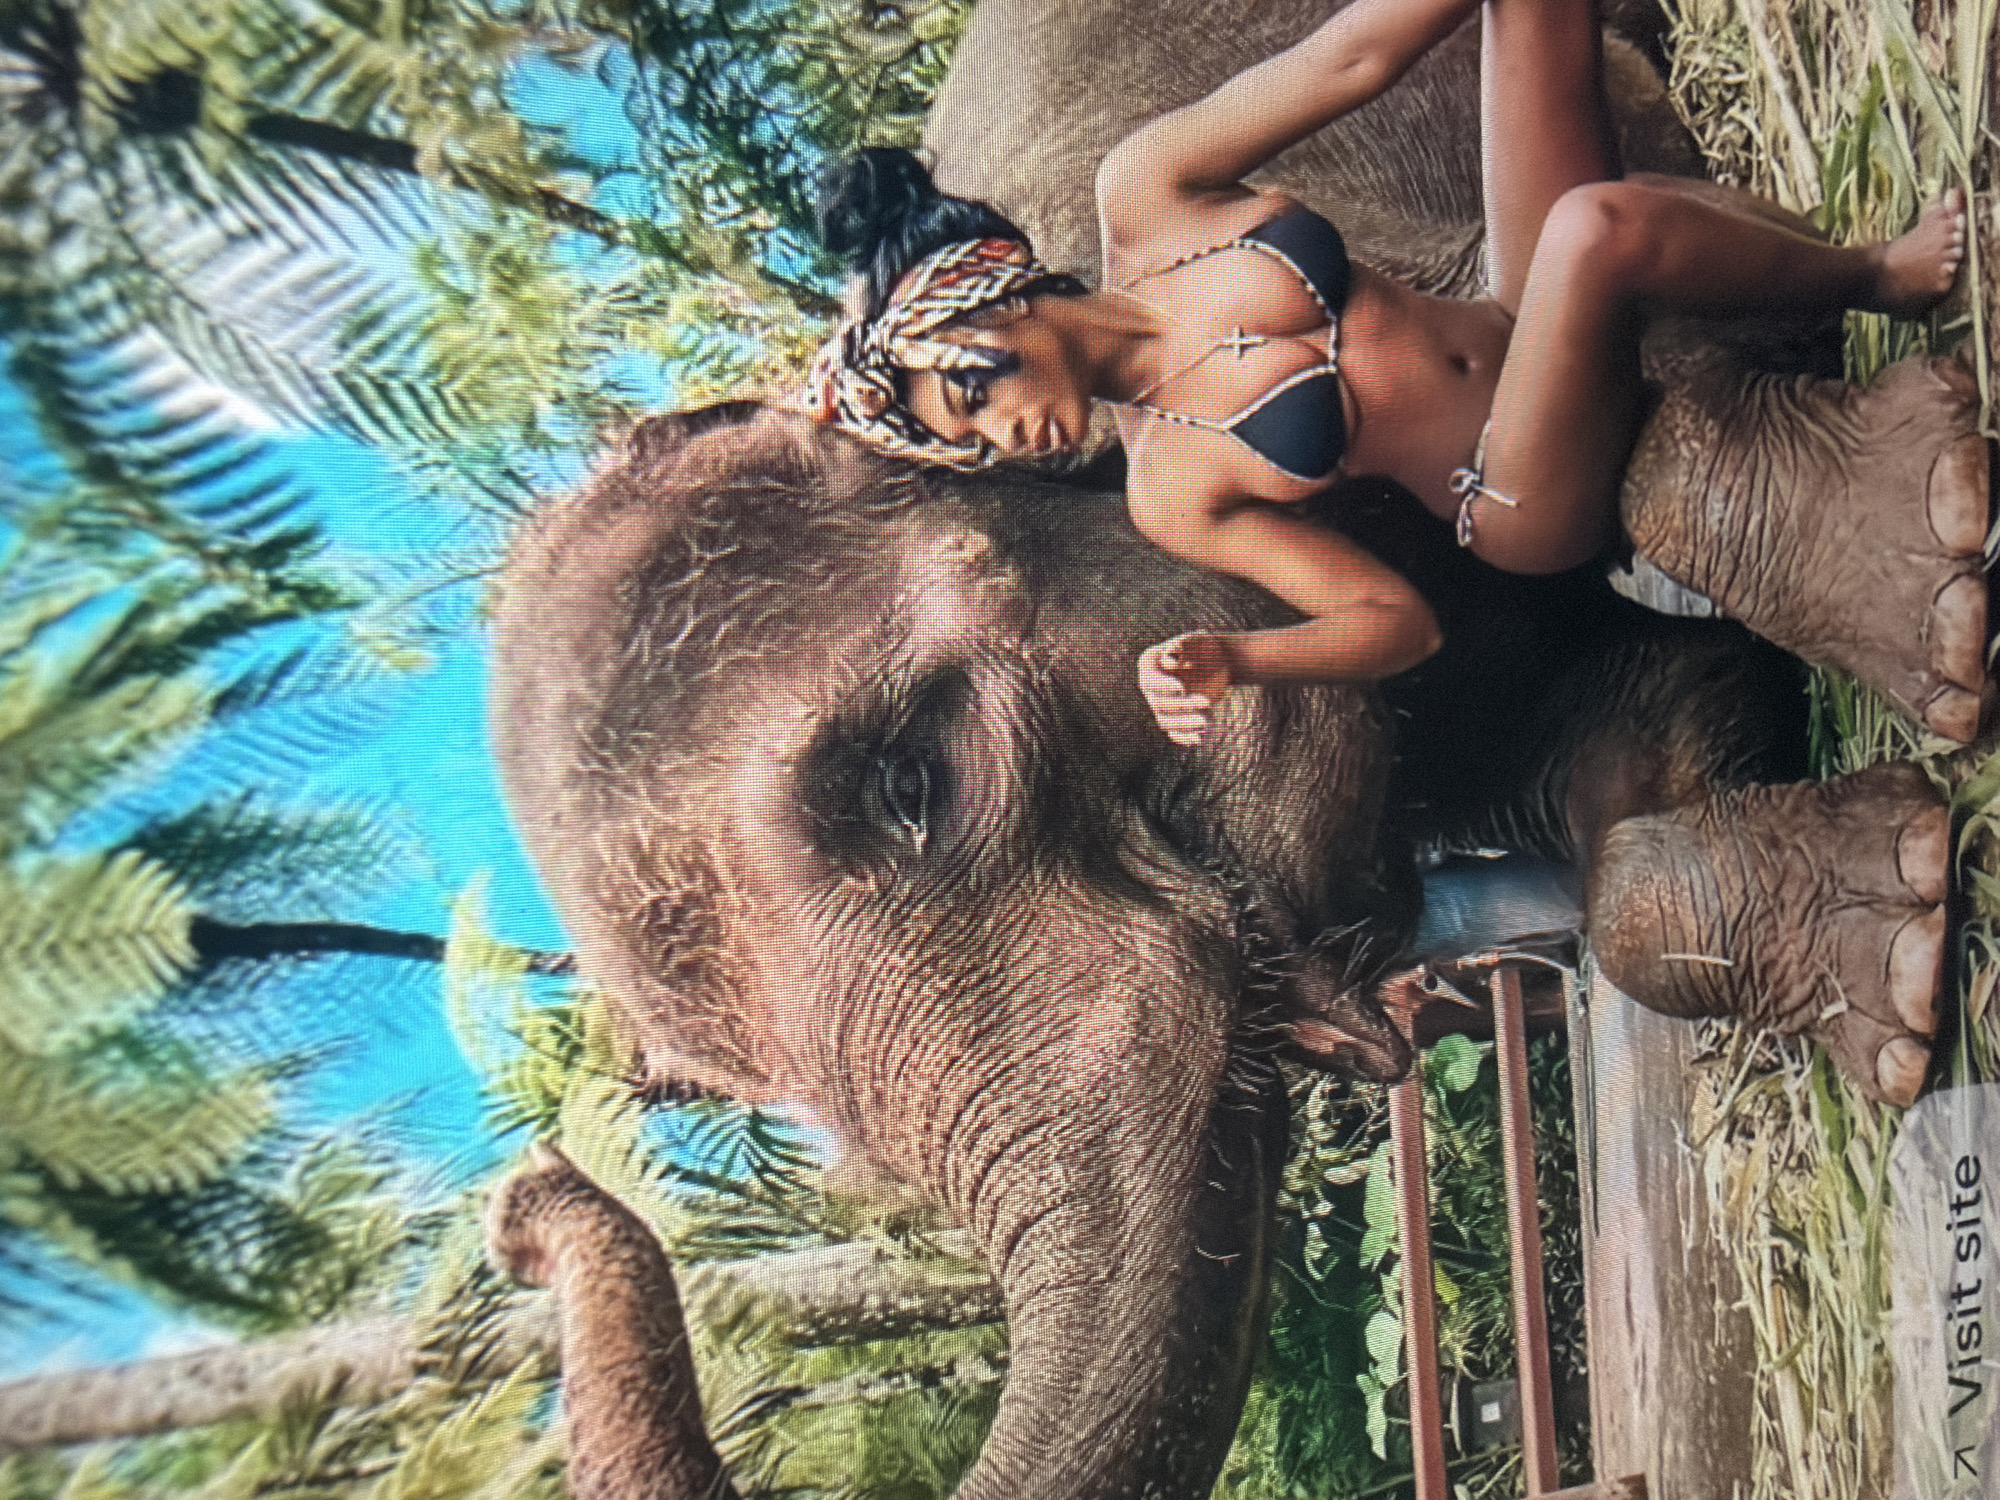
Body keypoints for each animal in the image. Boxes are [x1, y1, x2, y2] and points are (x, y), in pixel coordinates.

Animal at [479, 2, 1990, 1496]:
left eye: (908, 783)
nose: (522, 1207)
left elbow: (1626, 335)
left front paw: (1931, 557)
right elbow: (1630, 759)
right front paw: (1902, 941)